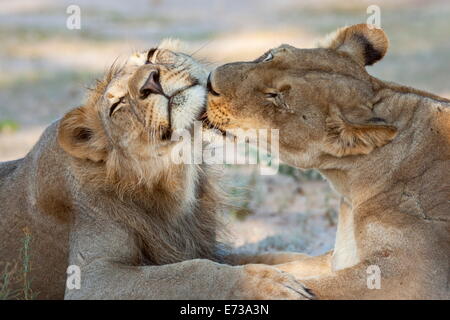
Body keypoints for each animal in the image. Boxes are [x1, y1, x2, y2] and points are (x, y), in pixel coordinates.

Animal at [0, 41, 312, 298]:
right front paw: (264, 285)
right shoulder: (90, 278)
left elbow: (271, 255)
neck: (175, 171)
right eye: (117, 104)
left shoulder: (201, 244)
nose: (151, 81)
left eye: (151, 56)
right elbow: (190, 272)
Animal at [207, 23, 450, 298]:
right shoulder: (340, 256)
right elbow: (290, 266)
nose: (209, 81)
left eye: (276, 97)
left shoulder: (411, 274)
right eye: (269, 56)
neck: (350, 186)